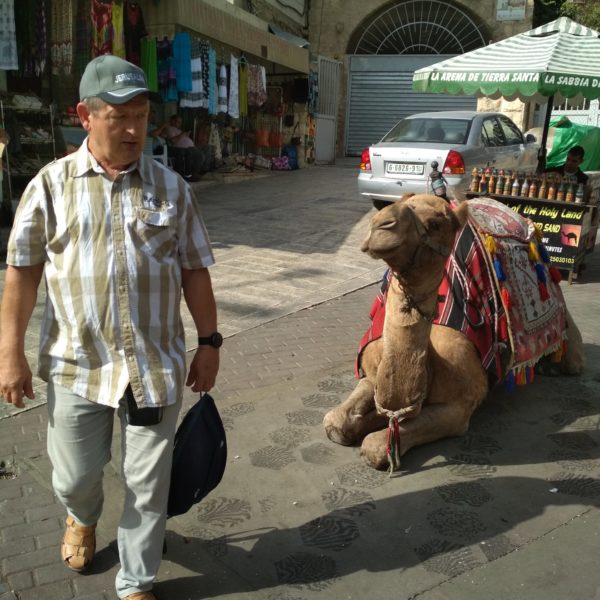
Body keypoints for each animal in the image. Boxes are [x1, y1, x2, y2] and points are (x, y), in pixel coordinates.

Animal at [326, 195, 584, 472]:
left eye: (435, 223)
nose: (380, 224)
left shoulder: (461, 405)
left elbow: (376, 445)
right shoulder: (371, 371)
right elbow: (335, 422)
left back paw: (556, 365)